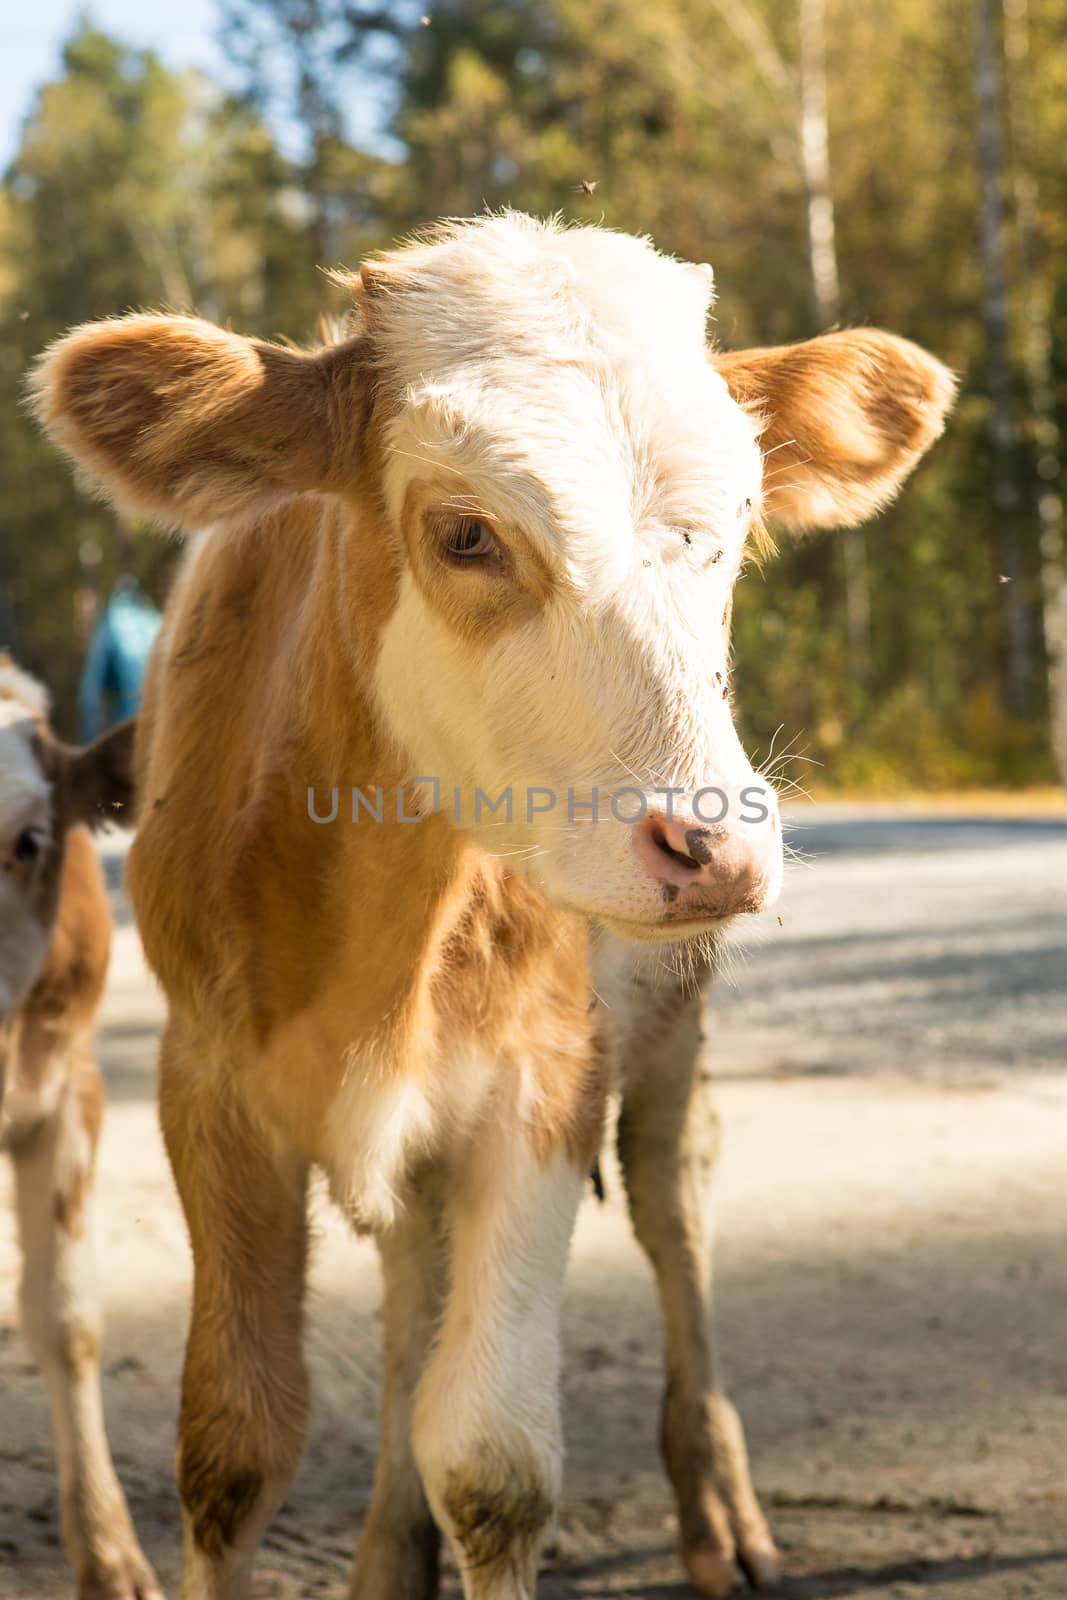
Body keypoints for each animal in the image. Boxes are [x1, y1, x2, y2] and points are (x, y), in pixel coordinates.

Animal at [31, 216, 953, 1600]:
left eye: (737, 519)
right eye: (466, 533)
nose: (713, 843)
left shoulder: (543, 1077)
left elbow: (491, 1457)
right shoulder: (206, 1084)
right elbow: (234, 1444)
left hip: (666, 1028)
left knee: (674, 1201)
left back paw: (718, 1507)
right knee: (412, 1280)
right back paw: (384, 1553)